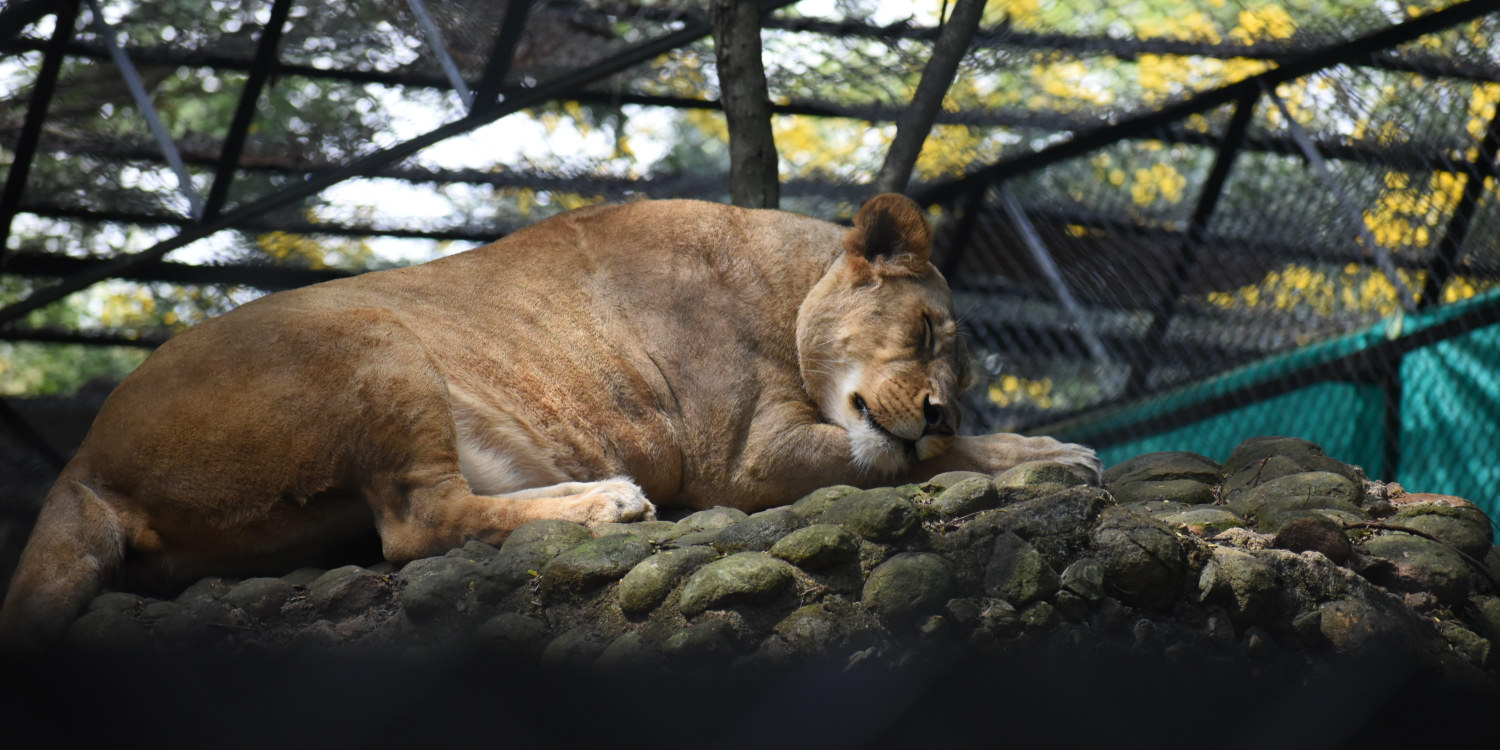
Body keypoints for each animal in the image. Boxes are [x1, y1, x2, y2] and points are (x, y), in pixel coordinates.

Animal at [2, 192, 1104, 645]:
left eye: (960, 362)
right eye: (923, 332)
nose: (935, 405)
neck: (784, 283)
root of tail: (83, 461)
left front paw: (1021, 439)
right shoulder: (746, 460)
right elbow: (920, 459)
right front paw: (1048, 449)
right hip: (363, 334)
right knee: (420, 524)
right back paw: (604, 504)